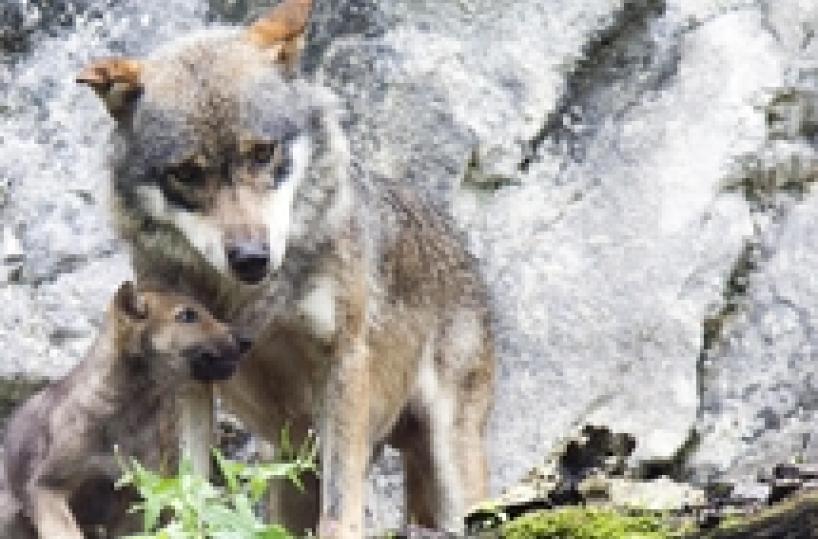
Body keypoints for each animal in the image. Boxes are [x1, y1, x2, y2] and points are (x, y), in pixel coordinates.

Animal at [3, 282, 245, 539]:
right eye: (187, 316)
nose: (247, 340)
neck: (132, 408)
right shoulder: (47, 487)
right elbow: (66, 530)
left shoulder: (139, 495)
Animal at [76, 0, 495, 535]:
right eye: (188, 173)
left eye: (262, 152)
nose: (251, 258)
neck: (245, 300)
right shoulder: (188, 377)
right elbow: (191, 492)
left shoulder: (342, 359)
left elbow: (341, 505)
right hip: (288, 470)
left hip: (450, 460)